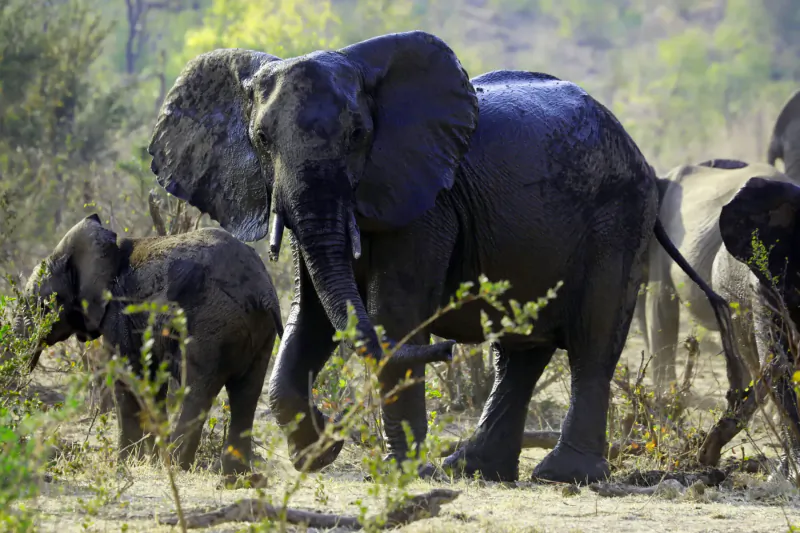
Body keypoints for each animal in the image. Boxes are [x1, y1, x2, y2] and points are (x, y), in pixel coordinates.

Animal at [13, 215, 283, 476]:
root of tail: (263, 291)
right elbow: (151, 385)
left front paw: (123, 465)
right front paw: (147, 461)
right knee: (245, 394)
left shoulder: (119, 313)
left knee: (198, 389)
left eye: (41, 305)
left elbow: (127, 379)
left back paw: (176, 466)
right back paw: (233, 477)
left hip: (212, 325)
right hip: (258, 331)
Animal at [147, 30, 738, 484]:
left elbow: (394, 317)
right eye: (261, 139)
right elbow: (310, 318)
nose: (448, 351)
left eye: (358, 135)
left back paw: (561, 475)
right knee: (520, 351)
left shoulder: (429, 202)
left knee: (592, 339)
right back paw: (473, 469)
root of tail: (638, 150)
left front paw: (400, 470)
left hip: (619, 217)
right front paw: (318, 453)